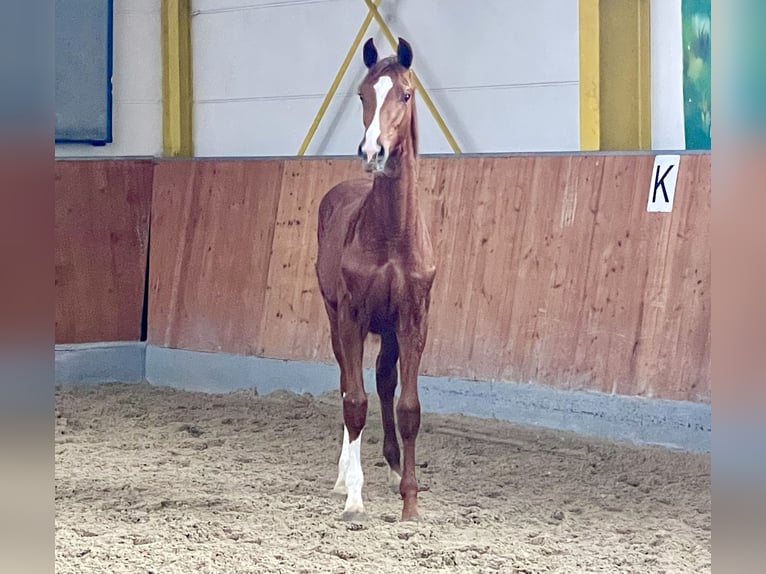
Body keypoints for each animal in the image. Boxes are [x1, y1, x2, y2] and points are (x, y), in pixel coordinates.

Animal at [316, 36, 438, 520]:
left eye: (404, 95)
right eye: (362, 95)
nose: (373, 153)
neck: (390, 234)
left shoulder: (412, 319)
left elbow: (408, 407)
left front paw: (410, 502)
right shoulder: (352, 315)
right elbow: (355, 401)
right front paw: (353, 496)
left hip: (386, 329)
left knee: (385, 381)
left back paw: (389, 465)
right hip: (336, 319)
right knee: (347, 384)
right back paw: (342, 476)